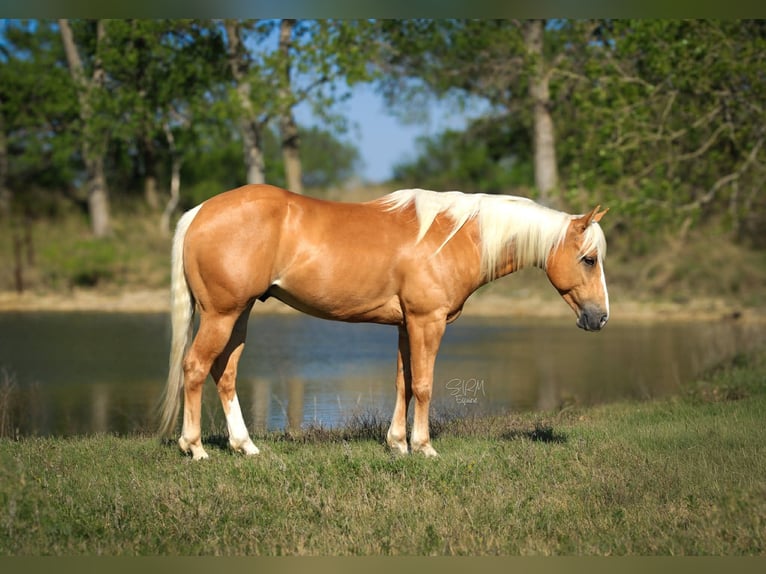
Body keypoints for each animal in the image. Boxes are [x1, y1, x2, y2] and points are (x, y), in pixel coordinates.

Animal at [158, 184, 609, 459]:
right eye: (589, 259)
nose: (600, 317)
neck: (455, 236)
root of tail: (200, 211)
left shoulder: (405, 326)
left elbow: (403, 383)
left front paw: (397, 444)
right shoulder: (427, 322)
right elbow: (423, 385)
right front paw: (423, 447)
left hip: (240, 314)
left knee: (225, 373)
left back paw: (245, 446)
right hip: (222, 314)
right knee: (195, 369)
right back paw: (195, 447)